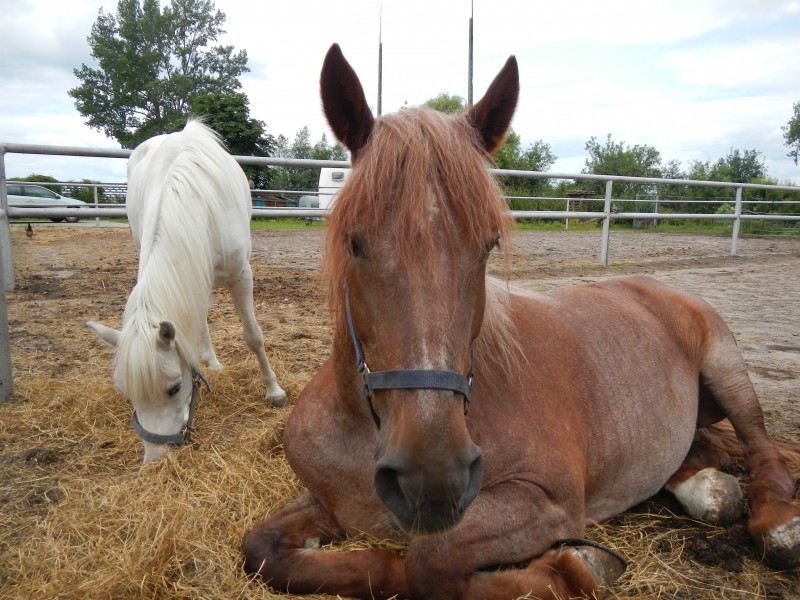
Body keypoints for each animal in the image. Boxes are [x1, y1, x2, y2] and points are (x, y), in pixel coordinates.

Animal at [88, 119, 288, 462]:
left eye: (174, 387)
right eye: (126, 394)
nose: (154, 460)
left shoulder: (241, 274)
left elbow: (253, 335)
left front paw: (274, 391)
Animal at [244, 44, 800, 596]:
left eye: (488, 245)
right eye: (354, 242)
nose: (433, 477)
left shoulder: (546, 501)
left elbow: (428, 562)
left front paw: (575, 568)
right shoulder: (330, 504)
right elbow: (264, 550)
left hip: (728, 368)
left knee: (760, 444)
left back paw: (777, 524)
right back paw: (706, 488)